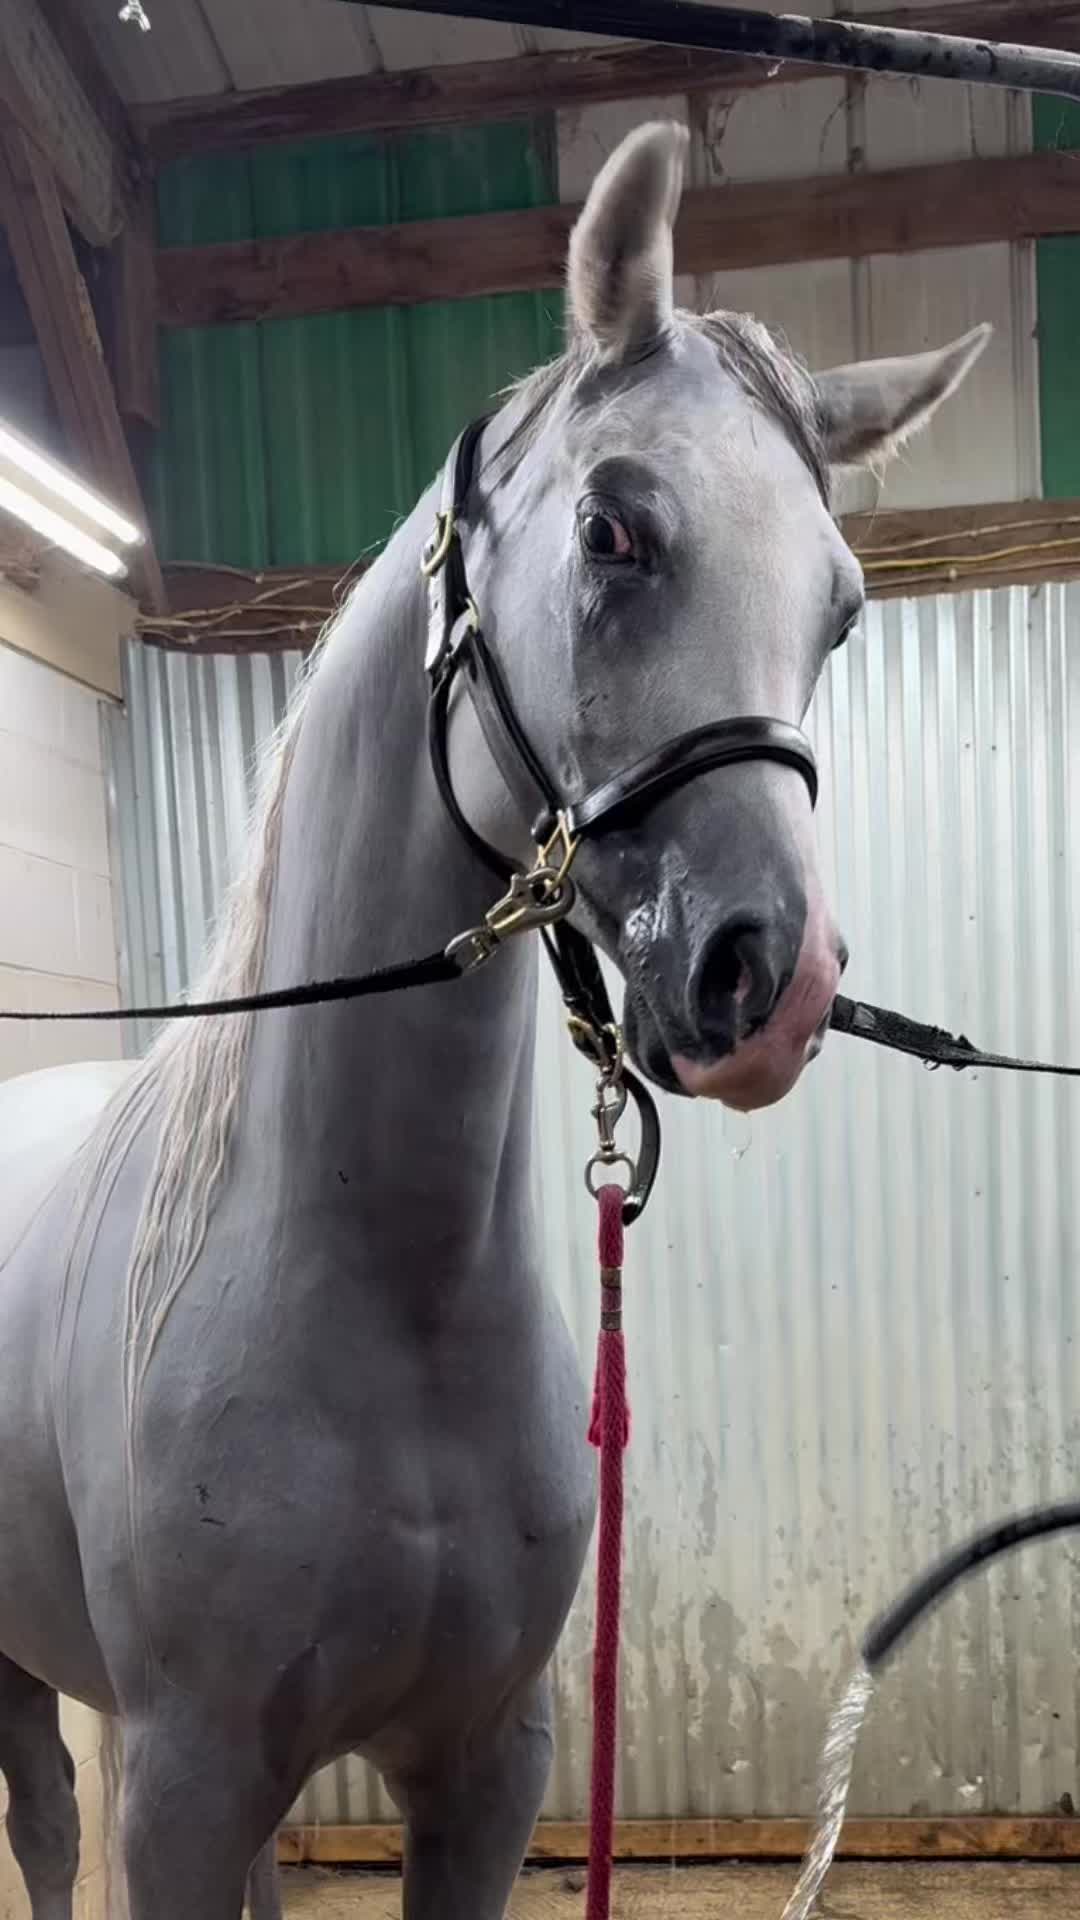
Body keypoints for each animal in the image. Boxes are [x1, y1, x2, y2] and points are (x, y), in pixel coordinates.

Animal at [0, 121, 986, 1920]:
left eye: (841, 607)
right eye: (613, 531)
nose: (773, 981)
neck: (375, 1294)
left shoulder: (484, 1767)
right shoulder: (180, 1786)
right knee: (40, 1818)